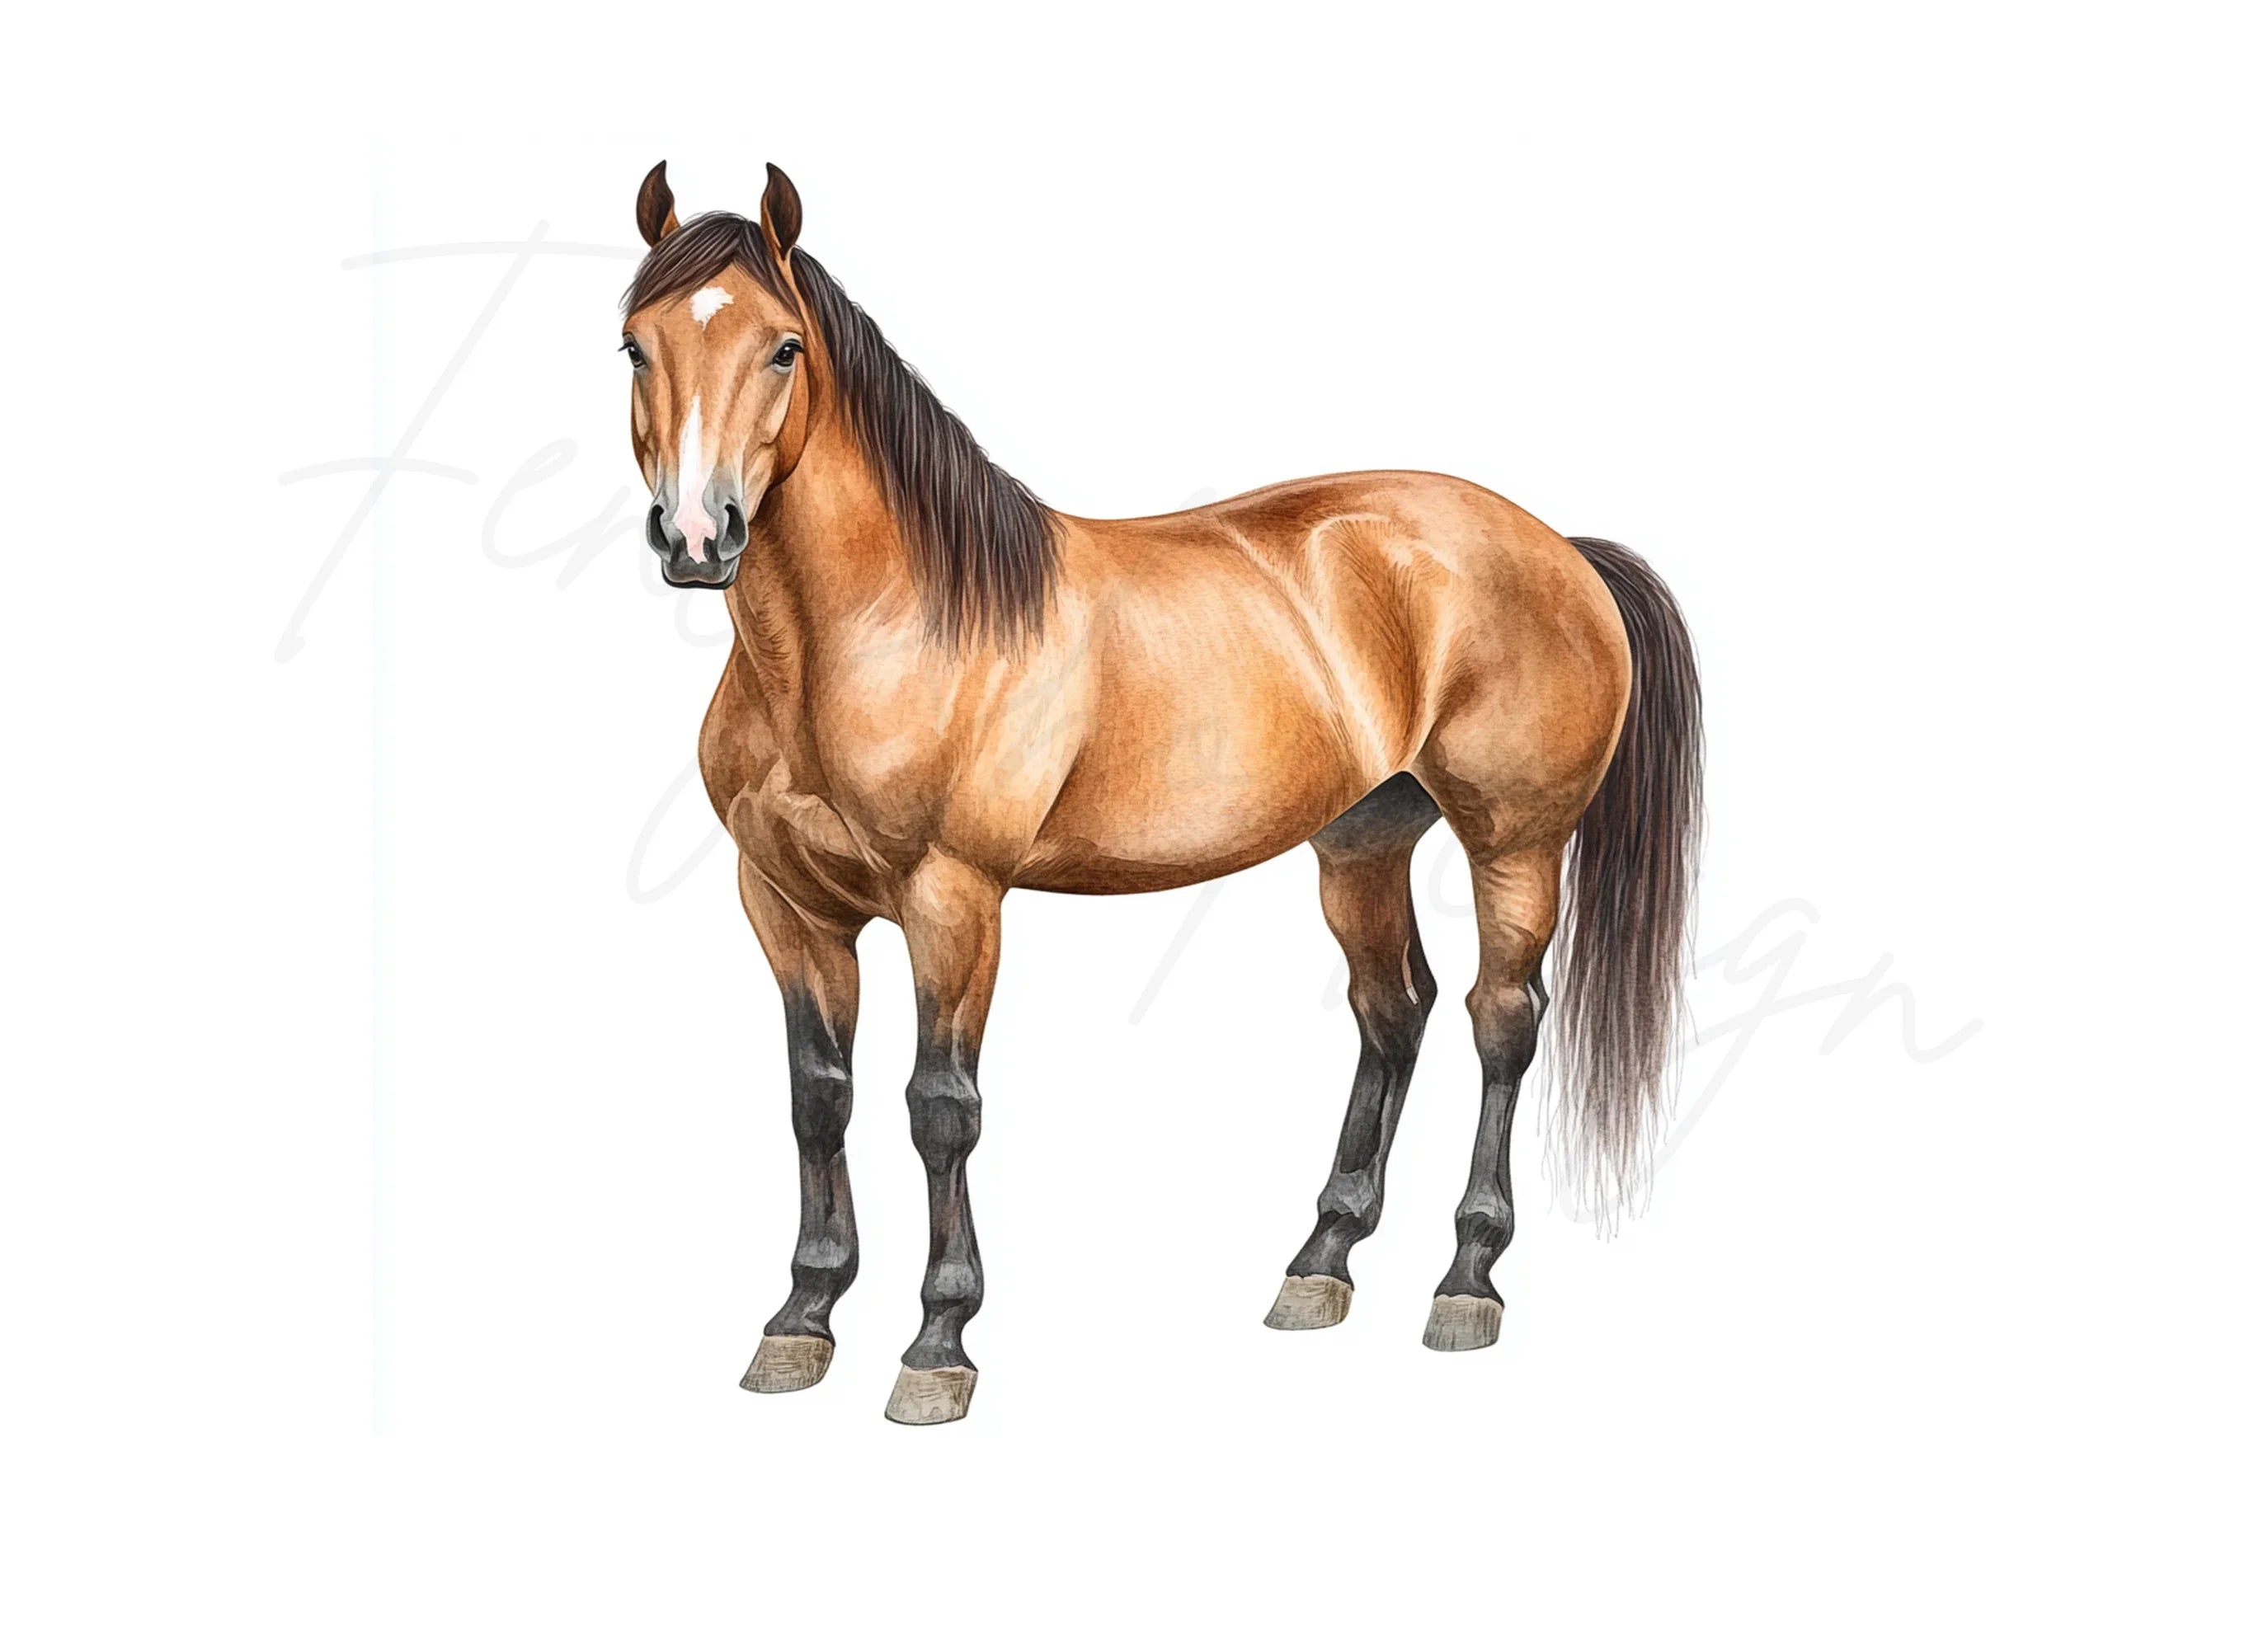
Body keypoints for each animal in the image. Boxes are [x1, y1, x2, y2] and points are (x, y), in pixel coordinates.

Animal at [618, 161, 1702, 1425]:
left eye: (784, 348)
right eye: (635, 345)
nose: (698, 535)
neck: (881, 629)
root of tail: (1560, 550)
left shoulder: (953, 902)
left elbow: (940, 1107)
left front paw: (938, 1342)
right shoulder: (788, 908)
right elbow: (816, 1098)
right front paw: (800, 1319)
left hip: (1515, 844)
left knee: (1500, 1022)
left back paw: (1465, 1279)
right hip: (1361, 842)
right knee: (1394, 1010)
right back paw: (1320, 1263)